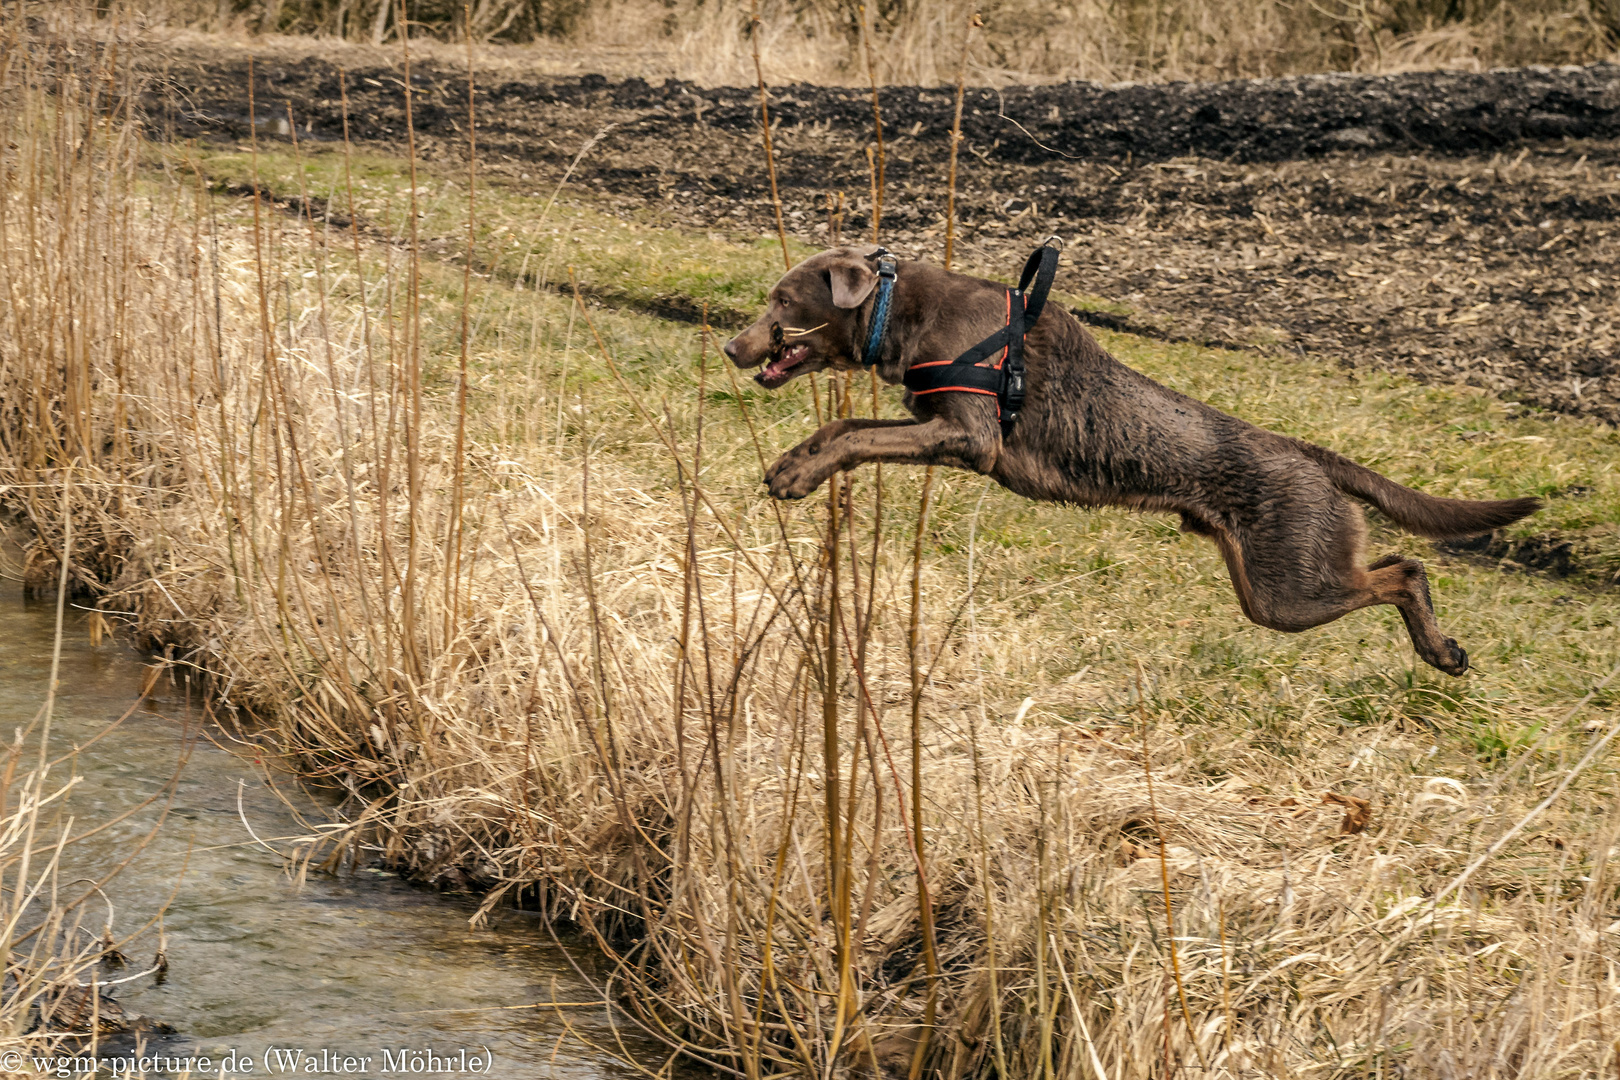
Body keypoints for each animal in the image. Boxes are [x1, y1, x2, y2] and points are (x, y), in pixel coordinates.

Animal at [729, 244, 1535, 676]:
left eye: (782, 300)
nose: (732, 347)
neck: (902, 309)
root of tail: (1308, 454)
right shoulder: (931, 424)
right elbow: (847, 429)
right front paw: (794, 464)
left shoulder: (967, 437)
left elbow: (859, 438)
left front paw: (798, 474)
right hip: (1273, 581)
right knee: (1394, 566)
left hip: (1286, 591)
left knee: (1407, 570)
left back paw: (1442, 651)